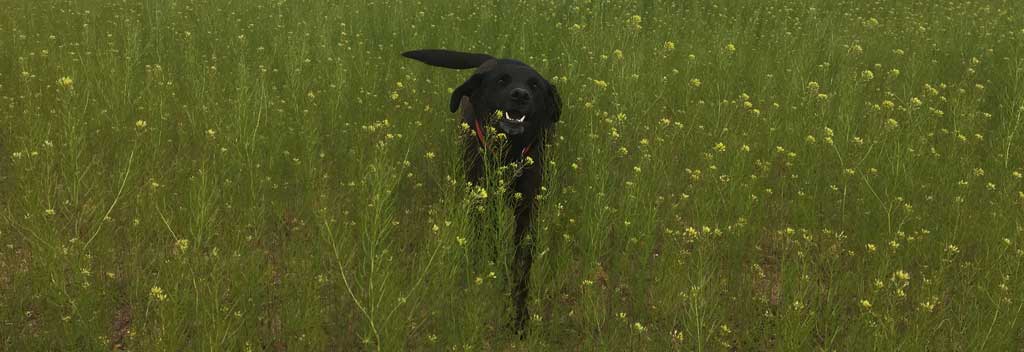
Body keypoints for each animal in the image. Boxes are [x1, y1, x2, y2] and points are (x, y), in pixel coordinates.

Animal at [401, 48, 561, 333]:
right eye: (501, 81)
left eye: (534, 86)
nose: (520, 95)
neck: (509, 153)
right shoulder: (479, 199)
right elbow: (482, 237)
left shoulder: (527, 210)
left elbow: (522, 263)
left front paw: (519, 318)